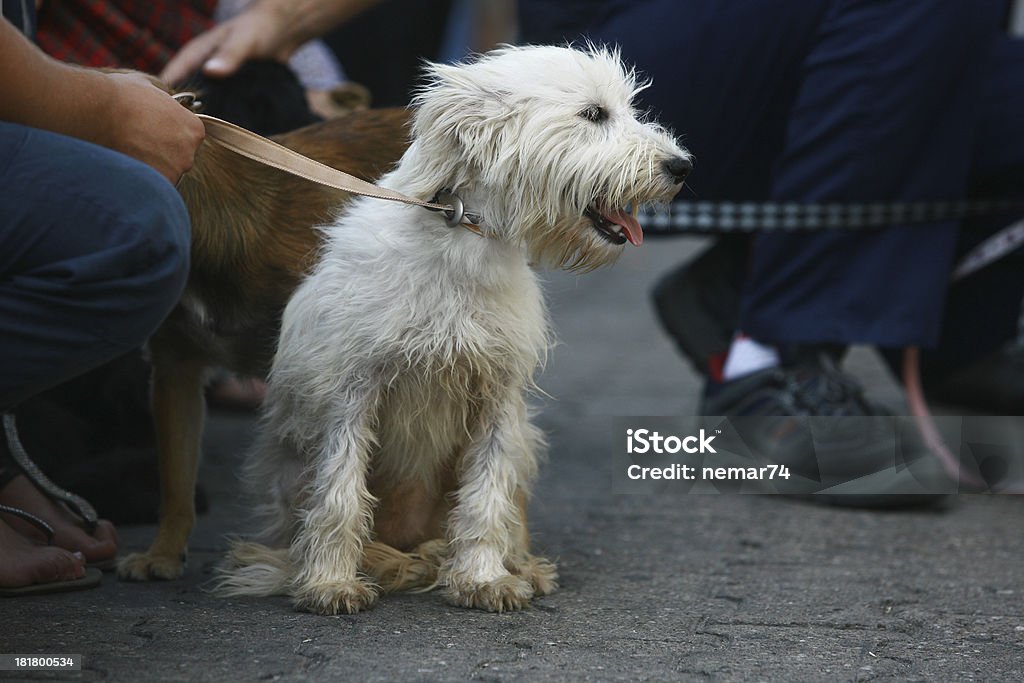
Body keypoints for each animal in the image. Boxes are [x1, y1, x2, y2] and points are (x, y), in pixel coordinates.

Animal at [219, 46, 692, 614]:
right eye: (594, 114)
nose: (682, 166)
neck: (464, 238)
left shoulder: (498, 397)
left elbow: (485, 497)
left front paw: (483, 577)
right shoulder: (350, 396)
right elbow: (339, 491)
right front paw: (330, 582)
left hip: (523, 442)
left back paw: (518, 566)